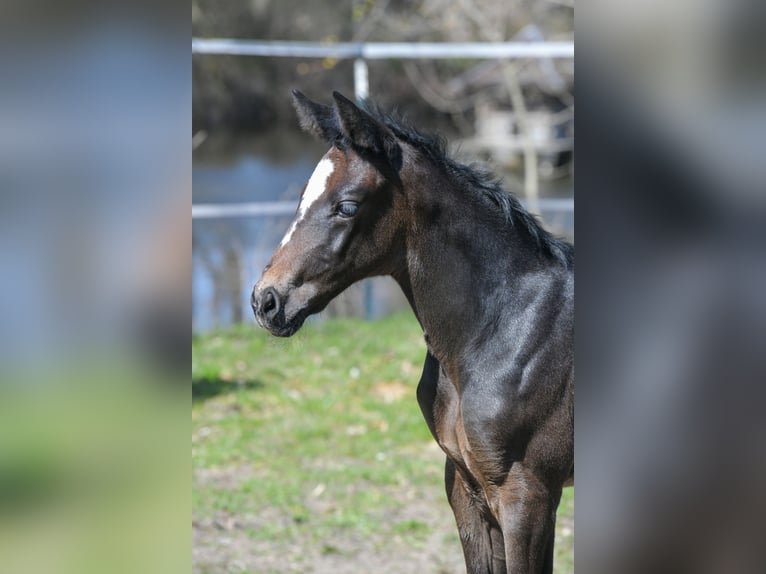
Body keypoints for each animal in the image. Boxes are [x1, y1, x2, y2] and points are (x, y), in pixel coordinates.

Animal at [252, 91, 574, 574]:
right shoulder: (465, 484)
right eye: (301, 199)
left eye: (347, 206)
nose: (265, 301)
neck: (500, 329)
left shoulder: (528, 493)